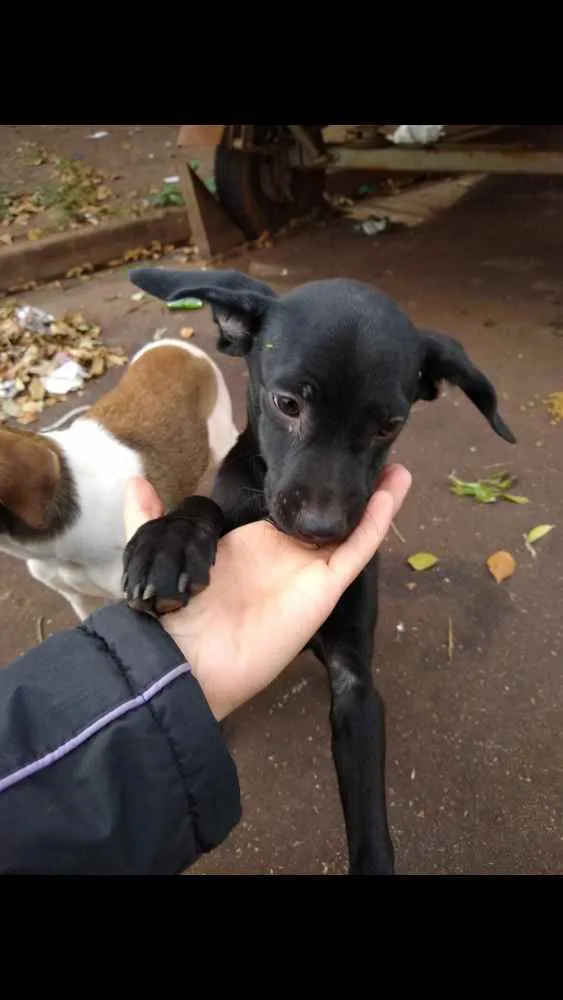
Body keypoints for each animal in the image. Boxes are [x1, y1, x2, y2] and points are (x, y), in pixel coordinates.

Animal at [123, 270, 516, 880]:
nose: (322, 529)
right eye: (287, 403)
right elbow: (203, 504)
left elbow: (369, 813)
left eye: (389, 426)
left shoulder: (355, 682)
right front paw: (171, 539)